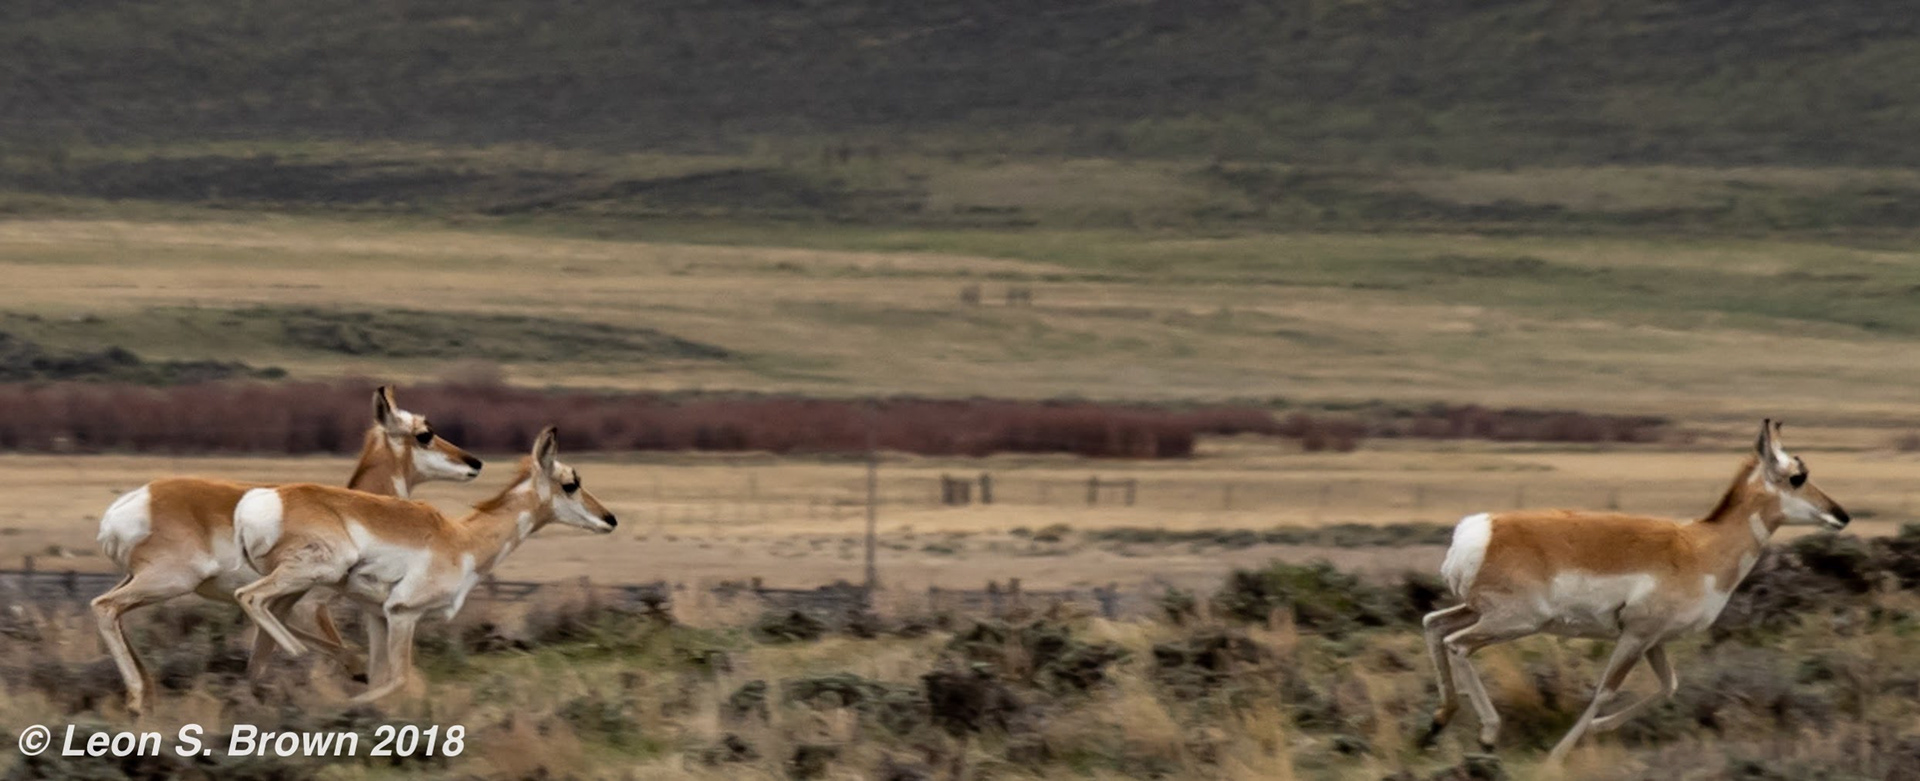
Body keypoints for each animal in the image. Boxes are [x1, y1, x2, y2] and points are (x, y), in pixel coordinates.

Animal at [92, 386, 483, 715]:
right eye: (424, 434)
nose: (474, 462)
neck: (351, 505)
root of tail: (133, 502)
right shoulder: (311, 604)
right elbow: (332, 646)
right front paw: (354, 674)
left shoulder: (288, 603)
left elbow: (261, 656)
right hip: (169, 582)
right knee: (104, 607)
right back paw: (137, 698)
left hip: (142, 581)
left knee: (115, 613)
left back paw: (144, 694)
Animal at [233, 426, 616, 703]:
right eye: (571, 484)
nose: (610, 519)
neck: (461, 539)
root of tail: (262, 501)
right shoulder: (403, 614)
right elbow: (398, 680)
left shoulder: (378, 617)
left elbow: (381, 677)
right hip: (313, 575)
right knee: (248, 597)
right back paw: (297, 655)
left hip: (295, 589)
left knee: (266, 626)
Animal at [1421, 420, 1850, 764]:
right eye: (1797, 476)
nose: (1842, 515)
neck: (1699, 546)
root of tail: (1480, 530)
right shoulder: (1635, 636)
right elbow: (1606, 692)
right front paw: (1558, 754)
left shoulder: (1654, 640)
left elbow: (1668, 686)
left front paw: (1596, 729)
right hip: (1515, 622)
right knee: (1458, 644)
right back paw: (1487, 734)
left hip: (1479, 612)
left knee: (1434, 625)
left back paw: (1437, 725)